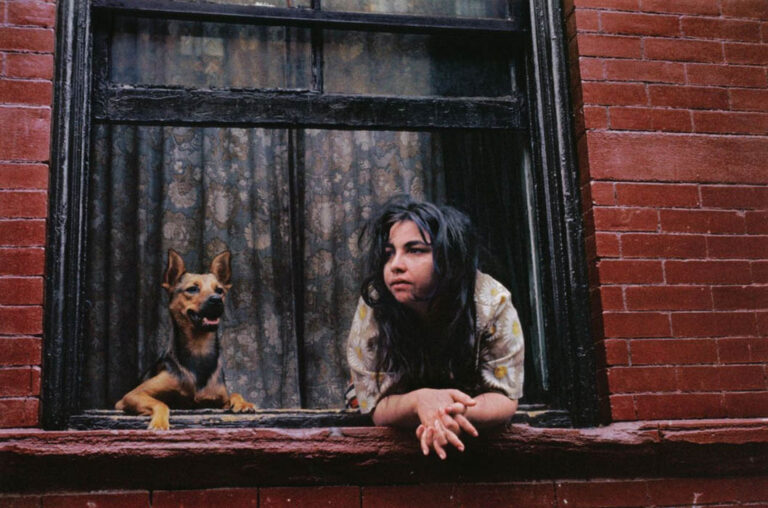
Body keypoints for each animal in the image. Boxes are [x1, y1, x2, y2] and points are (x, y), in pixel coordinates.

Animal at [115, 249, 255, 428]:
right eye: (192, 289)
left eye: (219, 290)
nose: (216, 300)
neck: (199, 348)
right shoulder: (131, 396)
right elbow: (161, 403)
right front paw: (159, 423)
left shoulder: (219, 401)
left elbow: (234, 393)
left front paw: (243, 403)